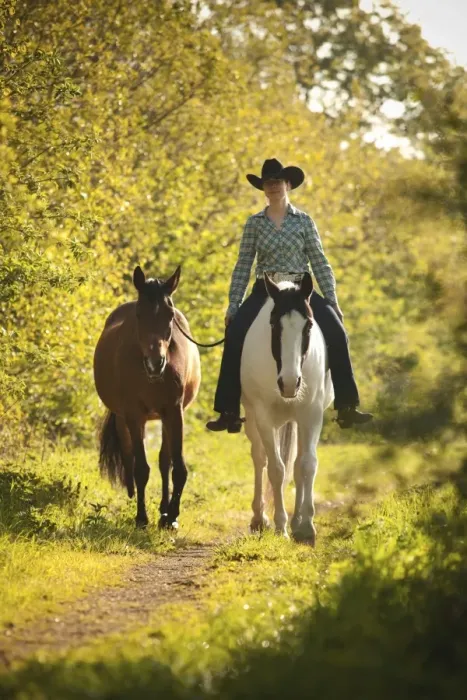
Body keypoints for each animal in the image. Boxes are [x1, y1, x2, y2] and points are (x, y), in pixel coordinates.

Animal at [93, 265, 201, 528]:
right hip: (126, 418)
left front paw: (172, 516)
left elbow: (177, 468)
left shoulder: (174, 411)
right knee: (130, 455)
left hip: (163, 416)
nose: (155, 363)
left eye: (170, 315)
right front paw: (141, 517)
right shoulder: (134, 414)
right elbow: (141, 468)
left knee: (164, 461)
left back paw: (163, 510)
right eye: (139, 315)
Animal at [240, 272, 334, 544]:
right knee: (259, 458)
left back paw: (296, 523)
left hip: (298, 421)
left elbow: (307, 465)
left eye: (308, 326)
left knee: (298, 462)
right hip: (252, 419)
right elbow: (276, 469)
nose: (290, 383)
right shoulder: (263, 417)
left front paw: (306, 526)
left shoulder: (312, 415)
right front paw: (280, 526)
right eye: (274, 325)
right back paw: (260, 519)